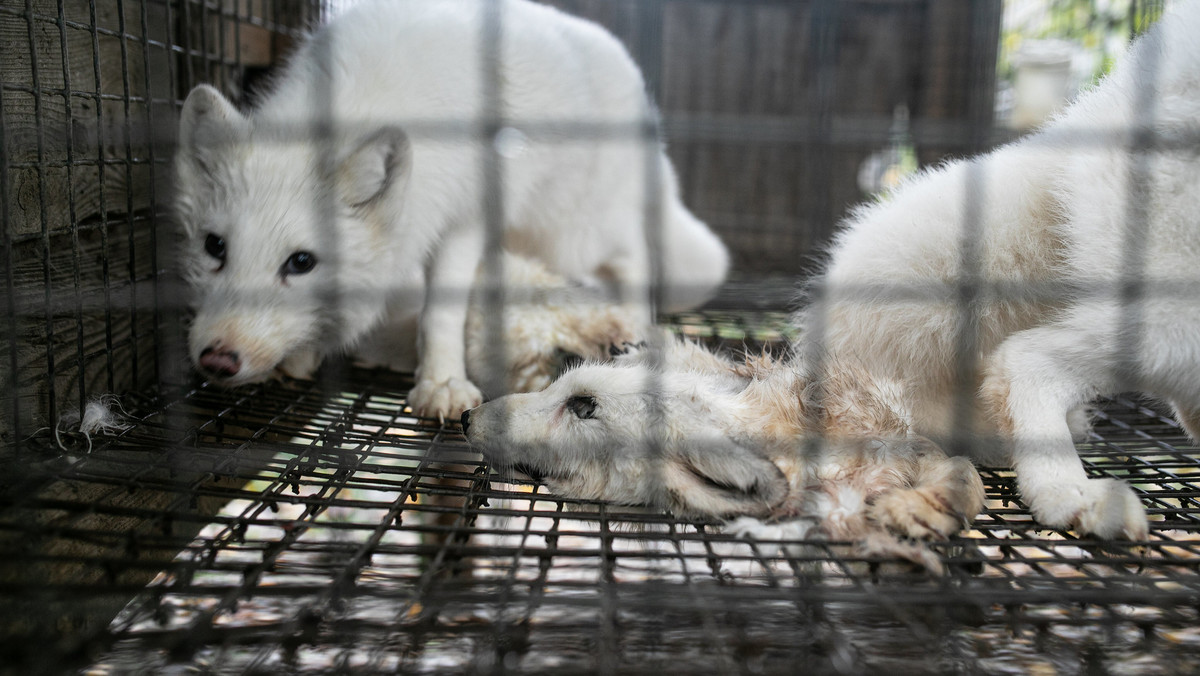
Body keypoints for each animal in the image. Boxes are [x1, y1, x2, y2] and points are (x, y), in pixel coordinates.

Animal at [172, 0, 724, 420]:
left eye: (301, 262)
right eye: (214, 247)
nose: (216, 360)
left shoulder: (467, 215)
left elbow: (441, 310)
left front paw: (440, 382)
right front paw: (302, 353)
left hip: (580, 229)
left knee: (632, 262)